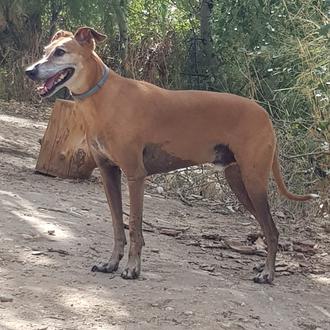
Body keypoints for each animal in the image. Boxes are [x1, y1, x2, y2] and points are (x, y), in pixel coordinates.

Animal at [25, 27, 318, 284]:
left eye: (60, 52)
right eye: (45, 50)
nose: (29, 71)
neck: (105, 97)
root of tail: (265, 115)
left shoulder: (135, 175)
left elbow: (135, 227)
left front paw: (132, 269)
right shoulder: (109, 174)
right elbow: (118, 226)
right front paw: (111, 263)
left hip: (254, 182)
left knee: (273, 230)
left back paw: (267, 274)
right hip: (239, 182)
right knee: (268, 230)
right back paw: (263, 267)